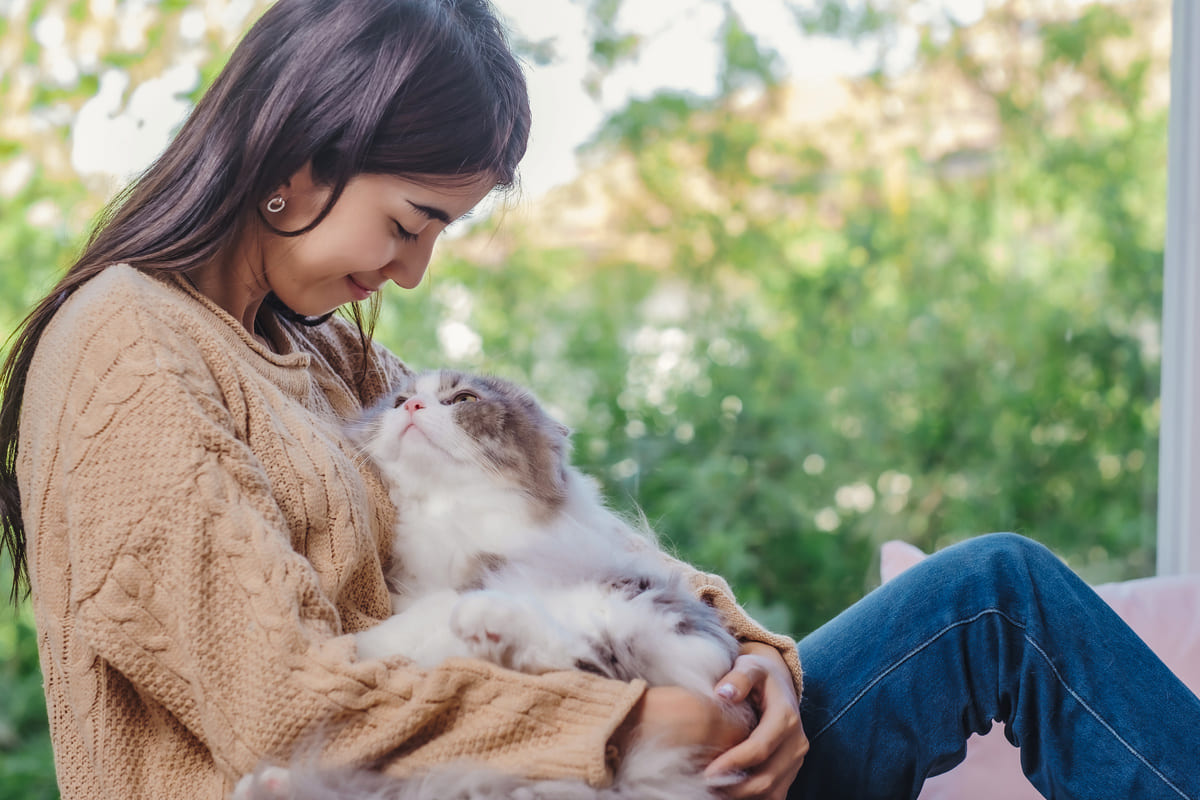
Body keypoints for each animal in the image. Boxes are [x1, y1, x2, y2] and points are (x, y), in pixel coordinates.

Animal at [234, 371, 748, 800]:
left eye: (463, 399)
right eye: (399, 400)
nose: (413, 407)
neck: (448, 512)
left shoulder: (485, 569)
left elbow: (420, 614)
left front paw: (364, 645)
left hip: (632, 609)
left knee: (586, 657)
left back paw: (487, 621)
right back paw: (267, 784)